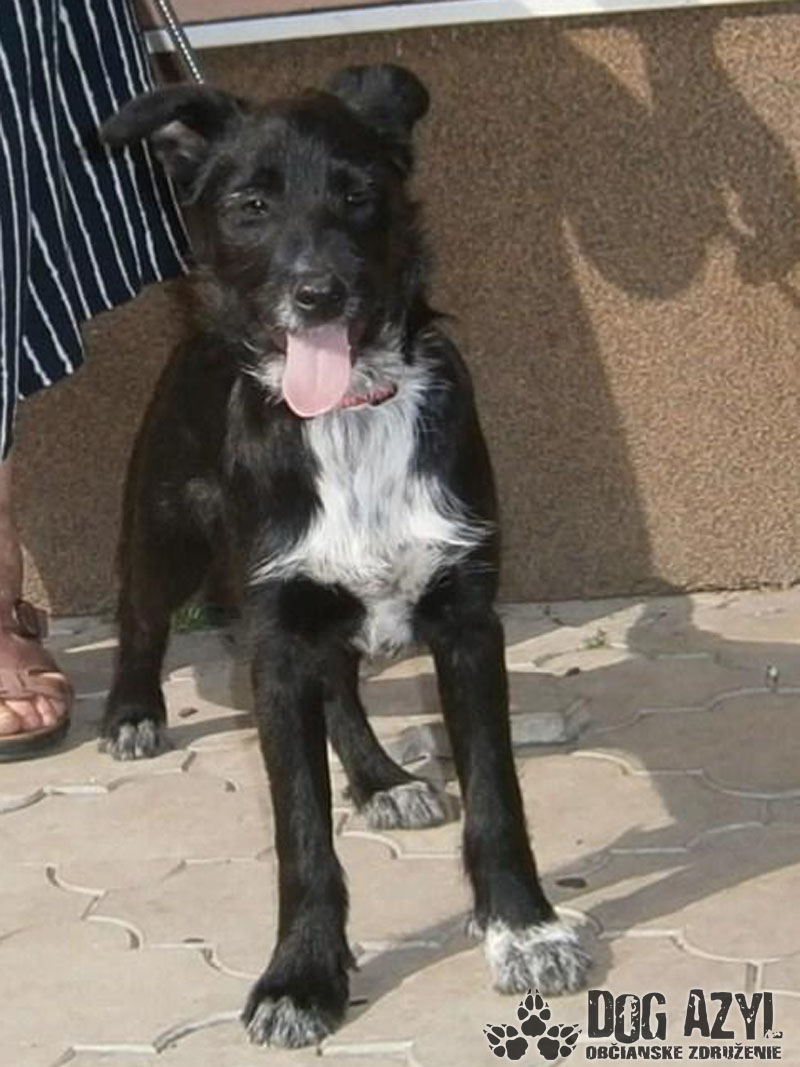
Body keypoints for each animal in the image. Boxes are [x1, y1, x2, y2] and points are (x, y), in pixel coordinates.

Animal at [99, 64, 590, 1048]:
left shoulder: (466, 619)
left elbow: (497, 792)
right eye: (250, 205)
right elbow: (300, 833)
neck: (352, 411)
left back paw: (380, 776)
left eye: (359, 195)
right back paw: (134, 709)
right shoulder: (276, 636)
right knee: (141, 613)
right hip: (167, 527)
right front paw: (303, 974)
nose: (316, 294)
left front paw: (523, 927)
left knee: (343, 685)